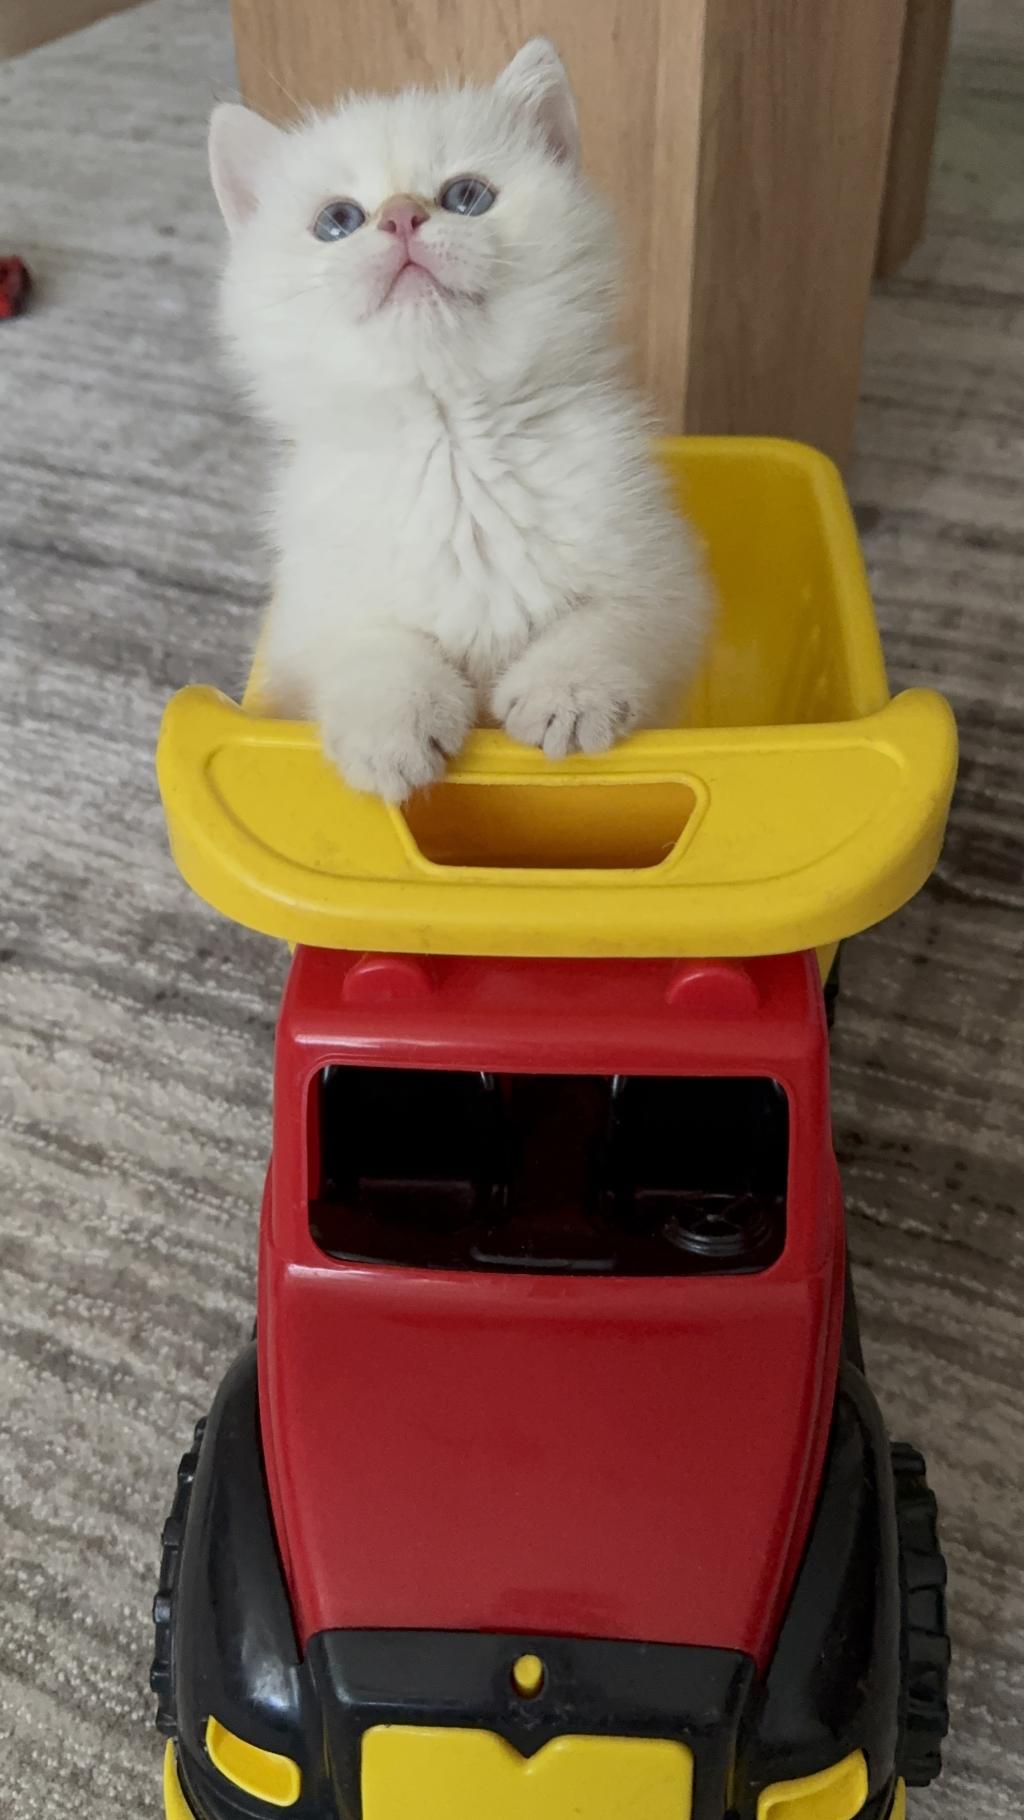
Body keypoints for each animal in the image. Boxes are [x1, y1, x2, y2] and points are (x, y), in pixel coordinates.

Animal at [209, 39, 711, 801]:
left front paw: (568, 691)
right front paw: (393, 726)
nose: (399, 217)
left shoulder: (667, 573)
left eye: (466, 197)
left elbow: (619, 618)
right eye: (338, 220)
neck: (453, 447)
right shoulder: (310, 617)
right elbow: (370, 643)